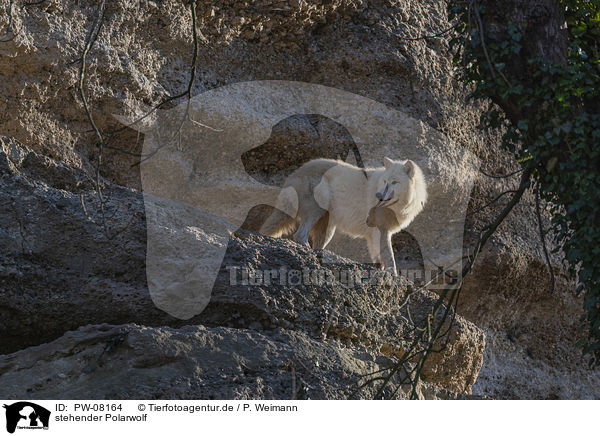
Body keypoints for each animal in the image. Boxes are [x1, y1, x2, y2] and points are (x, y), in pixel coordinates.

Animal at [262, 157, 426, 274]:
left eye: (394, 182)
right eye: (385, 181)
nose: (379, 196)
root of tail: (294, 174)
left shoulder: (375, 233)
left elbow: (378, 256)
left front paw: (380, 270)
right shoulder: (381, 229)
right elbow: (389, 256)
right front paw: (394, 276)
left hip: (327, 230)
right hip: (317, 211)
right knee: (300, 235)